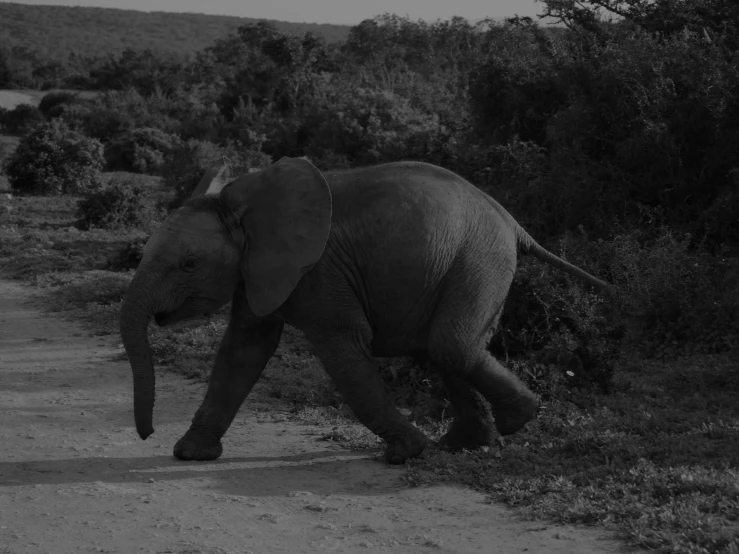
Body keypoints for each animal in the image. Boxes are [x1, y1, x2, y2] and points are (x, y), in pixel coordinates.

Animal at [118, 155, 608, 462]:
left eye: (188, 264)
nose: (147, 433)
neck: (246, 209)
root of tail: (512, 221)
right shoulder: (258, 271)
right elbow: (243, 349)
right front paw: (190, 455)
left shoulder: (319, 273)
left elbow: (343, 352)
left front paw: (406, 453)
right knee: (445, 349)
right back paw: (467, 444)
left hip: (479, 257)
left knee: (451, 345)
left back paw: (517, 421)